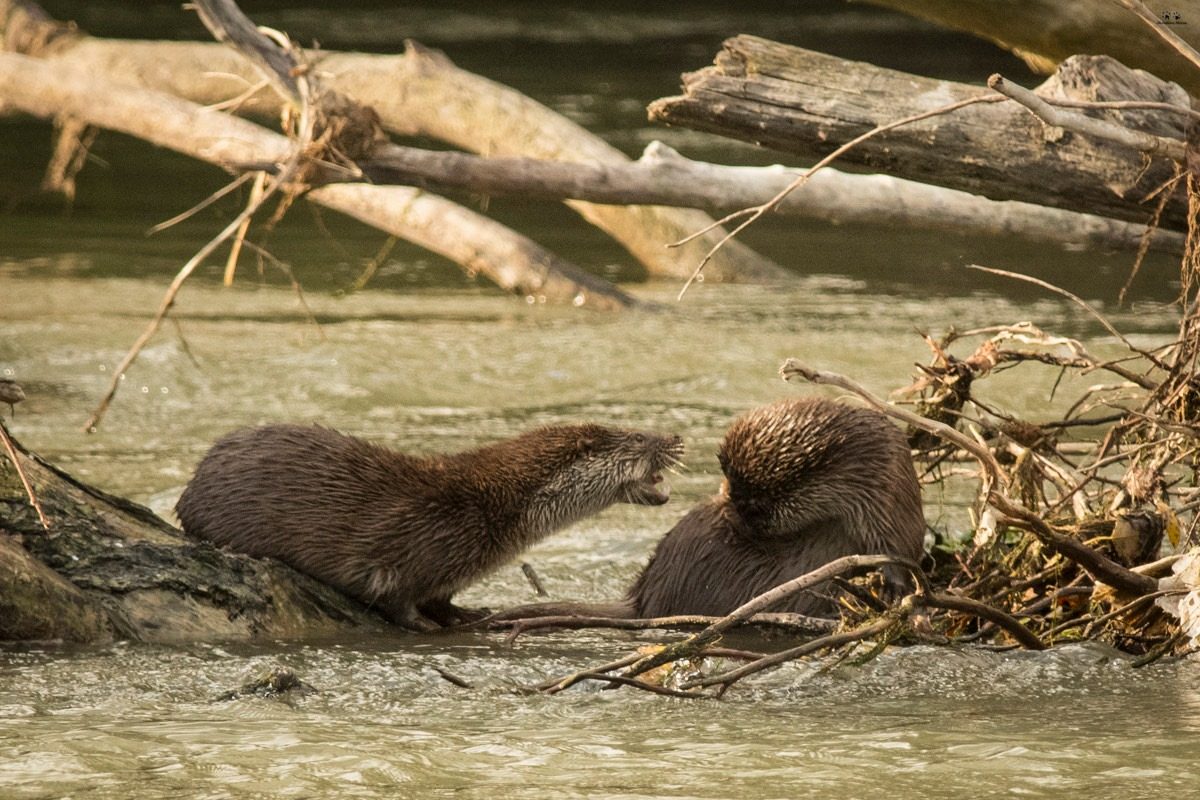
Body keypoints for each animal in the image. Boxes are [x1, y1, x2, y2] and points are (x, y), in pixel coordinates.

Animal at [176, 422, 686, 628]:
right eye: (639, 435)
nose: (676, 437)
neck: (493, 505)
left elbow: (443, 597)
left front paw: (466, 613)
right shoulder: (409, 549)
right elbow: (394, 597)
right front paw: (427, 624)